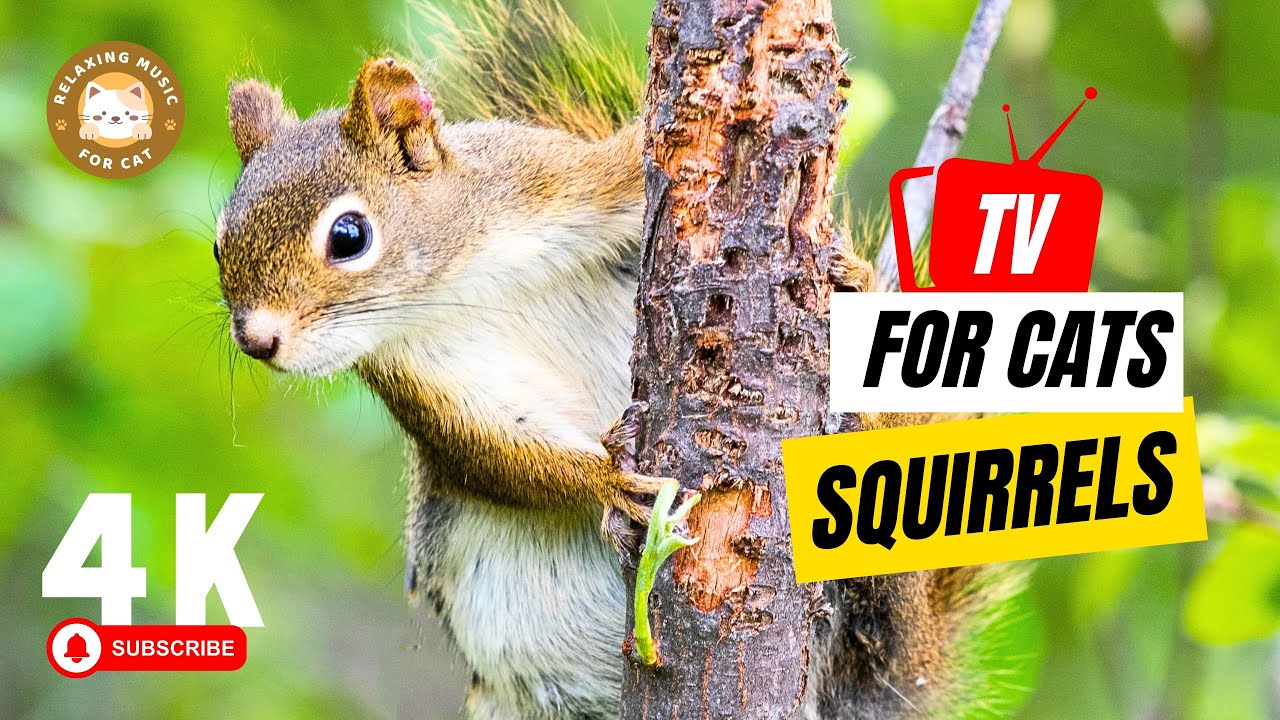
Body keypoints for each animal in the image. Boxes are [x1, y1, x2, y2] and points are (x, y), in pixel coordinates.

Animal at [213, 1, 1015, 717]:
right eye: (220, 244)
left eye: (349, 235)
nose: (258, 341)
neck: (456, 279)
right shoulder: (427, 383)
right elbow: (498, 454)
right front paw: (609, 480)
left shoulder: (557, 182)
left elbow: (635, 163)